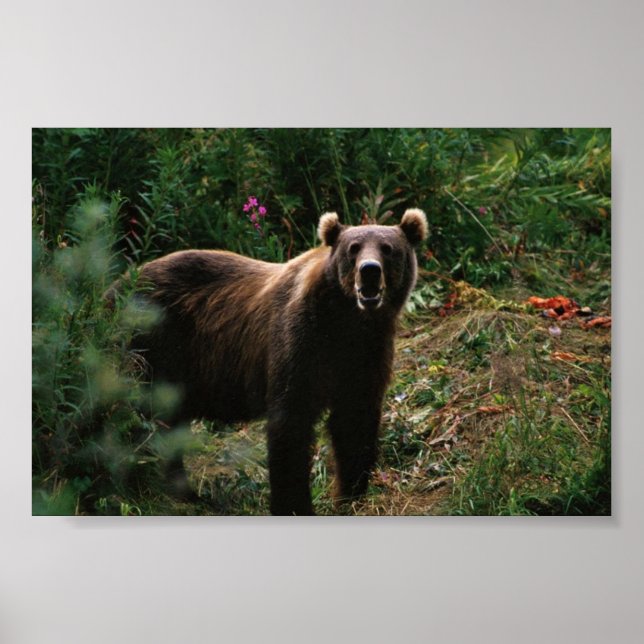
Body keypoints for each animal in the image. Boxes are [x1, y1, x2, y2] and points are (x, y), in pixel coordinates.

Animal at [128, 208, 428, 515]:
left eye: (388, 248)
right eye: (353, 248)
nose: (369, 270)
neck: (347, 322)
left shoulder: (366, 354)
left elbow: (354, 420)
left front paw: (350, 495)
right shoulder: (300, 342)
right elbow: (291, 422)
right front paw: (295, 504)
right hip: (154, 345)